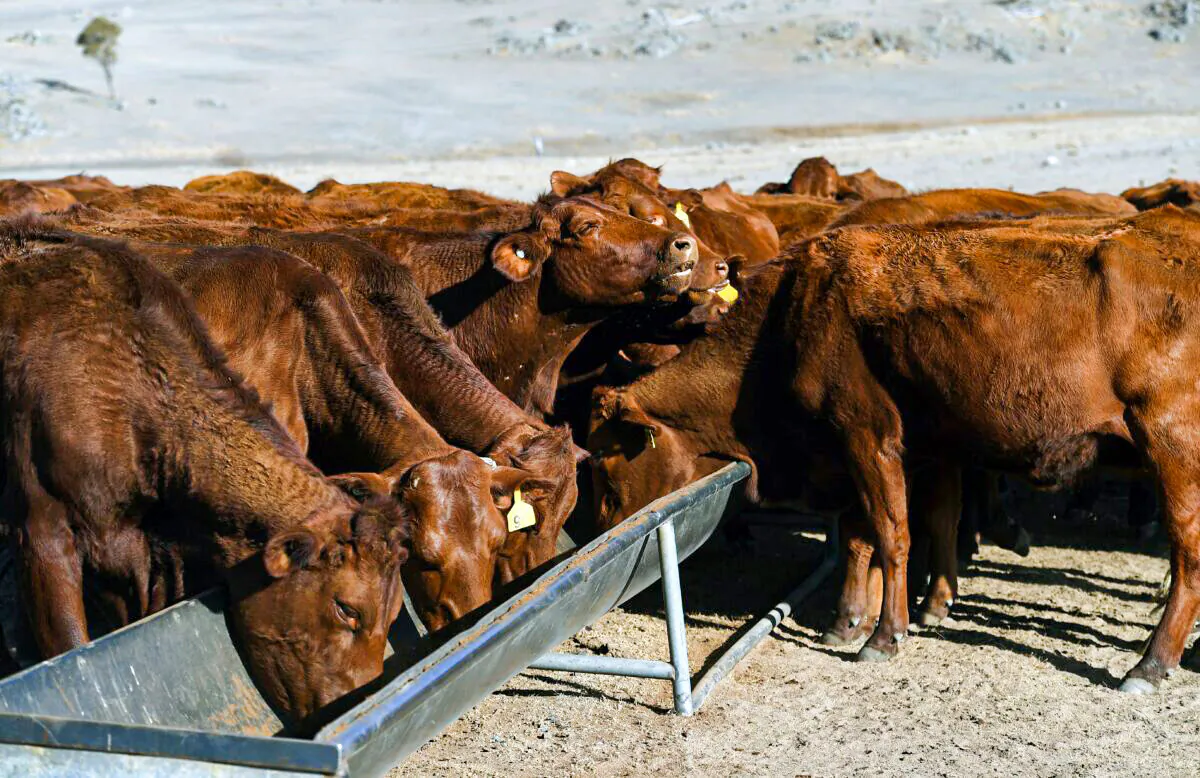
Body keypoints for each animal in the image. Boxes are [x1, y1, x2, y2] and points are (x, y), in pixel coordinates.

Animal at [589, 206, 1200, 693]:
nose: (605, 534)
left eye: (607, 465)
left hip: (1172, 447)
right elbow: (890, 528)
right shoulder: (914, 448)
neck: (790, 315)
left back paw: (1149, 664)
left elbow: (891, 532)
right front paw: (867, 616)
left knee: (1186, 553)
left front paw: (884, 634)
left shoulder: (865, 435)